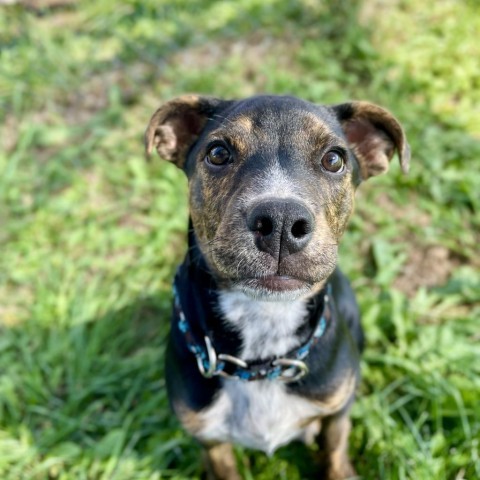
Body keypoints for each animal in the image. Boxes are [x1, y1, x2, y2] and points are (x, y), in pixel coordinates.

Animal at [143, 94, 408, 480]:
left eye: (334, 159)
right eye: (218, 153)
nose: (281, 221)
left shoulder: (336, 410)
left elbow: (335, 451)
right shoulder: (209, 438)